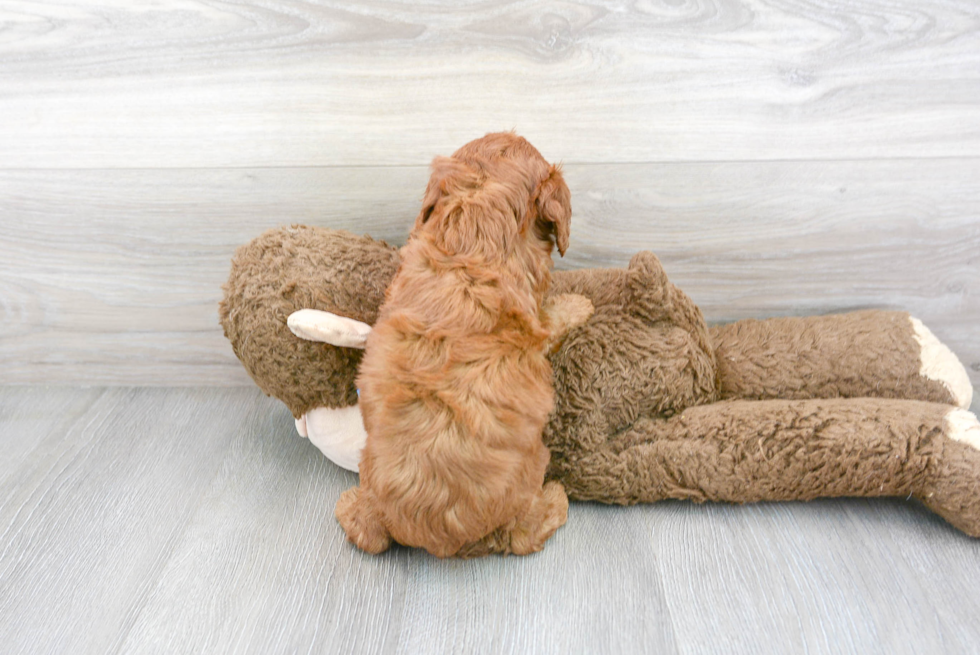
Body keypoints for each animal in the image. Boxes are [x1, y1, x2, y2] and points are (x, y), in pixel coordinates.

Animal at [334, 133, 592, 560]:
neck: (469, 238)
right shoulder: (537, 320)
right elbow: (554, 319)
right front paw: (581, 304)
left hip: (368, 475)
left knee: (360, 528)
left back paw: (348, 504)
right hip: (530, 473)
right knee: (525, 533)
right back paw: (557, 498)